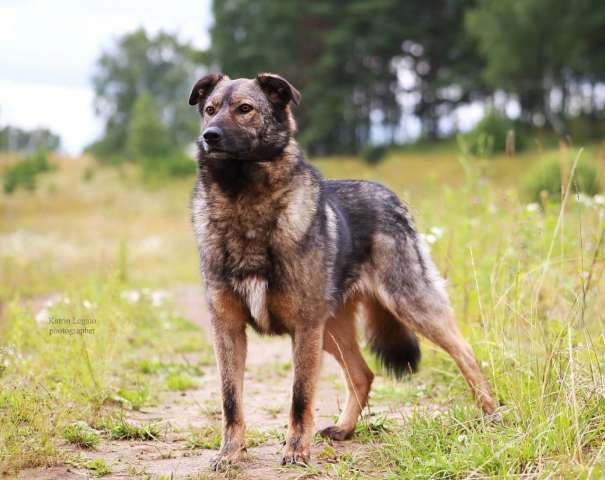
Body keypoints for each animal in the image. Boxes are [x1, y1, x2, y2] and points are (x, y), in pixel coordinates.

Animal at [188, 73, 496, 470]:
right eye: (210, 109)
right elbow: (231, 401)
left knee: (465, 351)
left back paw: (491, 412)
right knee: (363, 374)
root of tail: (390, 197)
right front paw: (230, 453)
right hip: (332, 329)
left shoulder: (304, 328)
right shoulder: (227, 328)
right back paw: (345, 429)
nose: (209, 136)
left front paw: (296, 450)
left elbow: (300, 398)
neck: (244, 202)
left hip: (409, 305)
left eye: (245, 109)